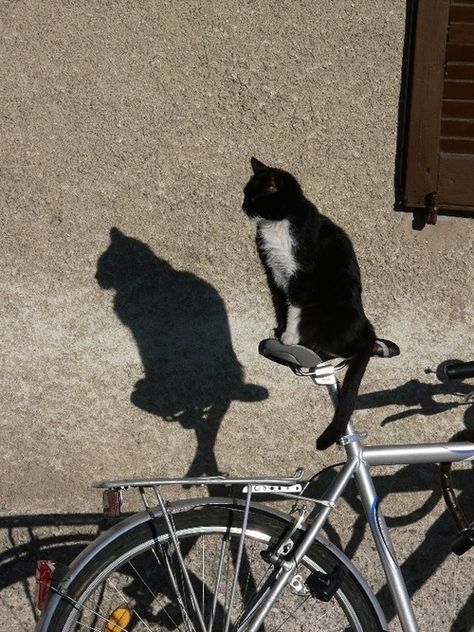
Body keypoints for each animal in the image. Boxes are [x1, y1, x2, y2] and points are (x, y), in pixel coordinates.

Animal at [243, 159, 376, 450]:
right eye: (244, 194)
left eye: (252, 196)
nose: (241, 206)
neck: (279, 223)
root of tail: (368, 329)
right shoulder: (275, 273)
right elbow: (281, 305)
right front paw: (279, 331)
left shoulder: (301, 275)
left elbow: (294, 308)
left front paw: (288, 337)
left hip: (327, 313)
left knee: (337, 348)